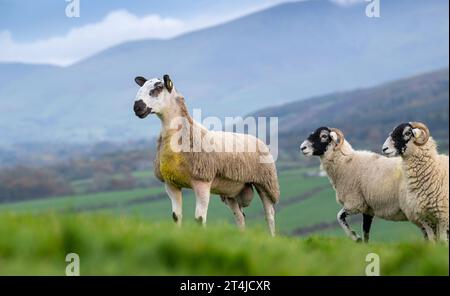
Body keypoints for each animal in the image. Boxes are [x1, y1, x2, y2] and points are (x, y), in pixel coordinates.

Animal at [132, 74, 280, 236]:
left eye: (158, 88)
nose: (136, 107)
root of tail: (257, 139)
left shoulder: (202, 182)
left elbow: (199, 219)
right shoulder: (171, 184)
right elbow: (176, 217)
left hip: (266, 182)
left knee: (269, 215)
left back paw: (272, 237)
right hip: (230, 190)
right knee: (240, 217)